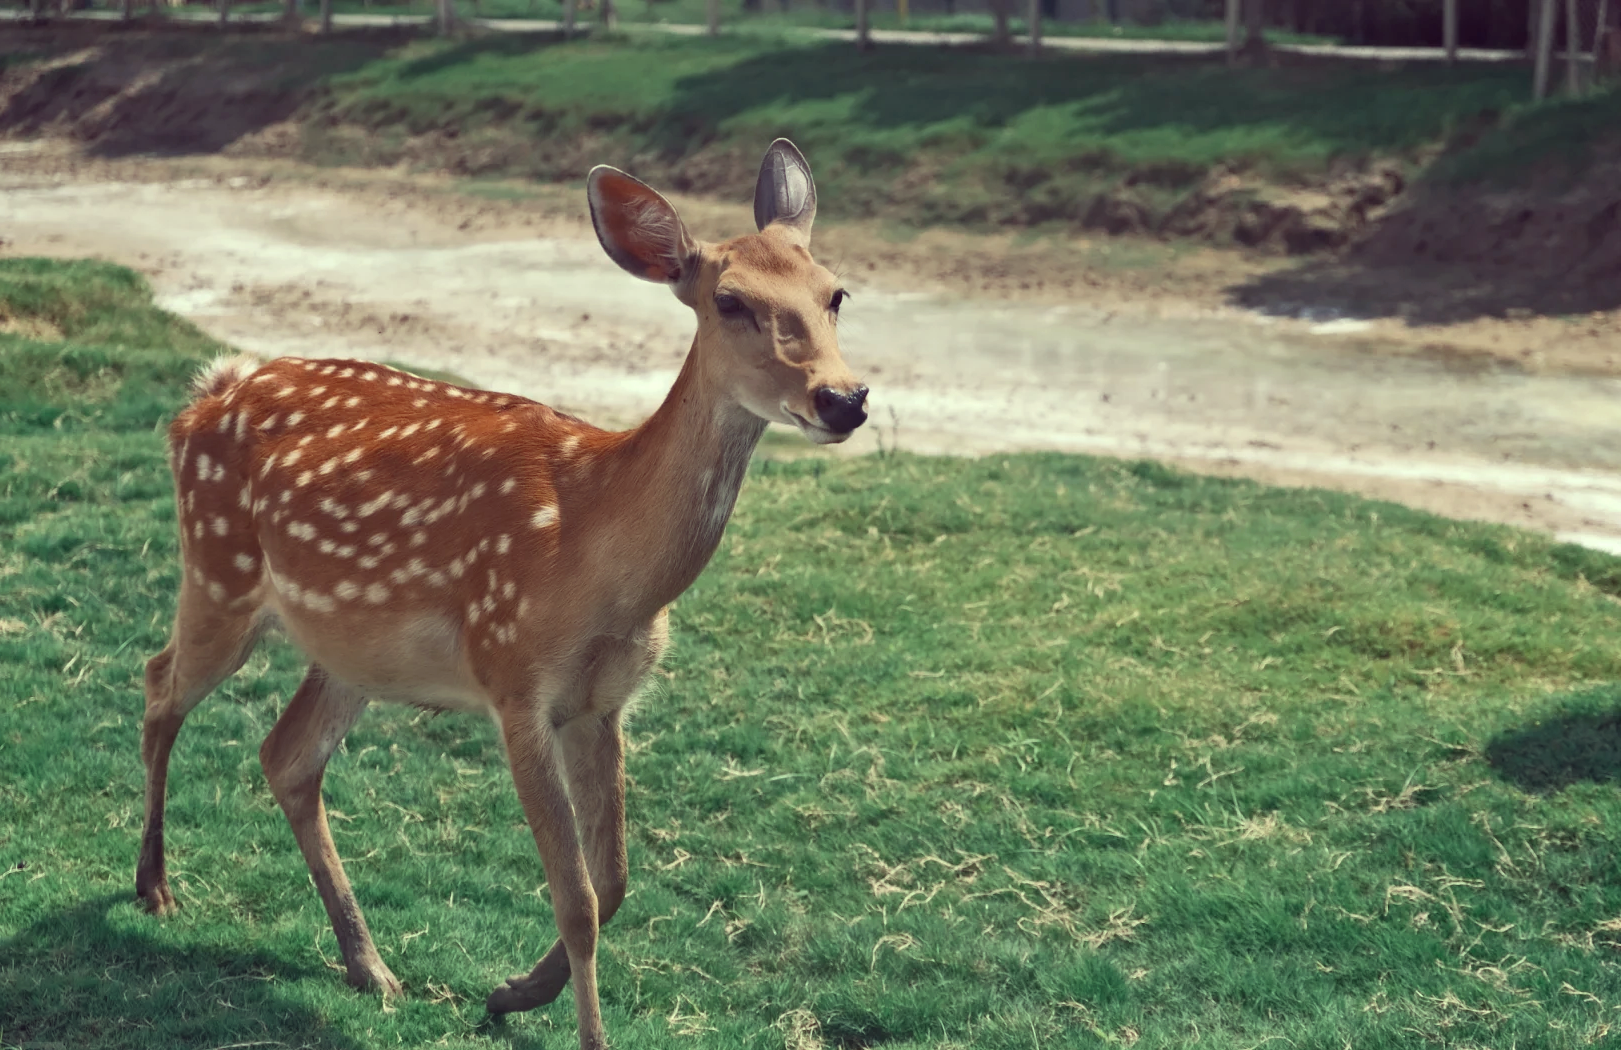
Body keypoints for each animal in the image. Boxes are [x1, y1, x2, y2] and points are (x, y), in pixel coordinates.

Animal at [136, 141, 875, 1050]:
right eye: (729, 301)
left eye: (835, 292)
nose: (842, 398)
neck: (601, 558)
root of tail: (205, 393)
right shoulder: (513, 677)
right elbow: (578, 899)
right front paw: (575, 1029)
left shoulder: (602, 701)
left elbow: (615, 880)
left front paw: (510, 991)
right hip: (219, 570)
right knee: (161, 682)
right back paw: (155, 886)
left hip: (347, 650)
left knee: (286, 756)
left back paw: (368, 964)